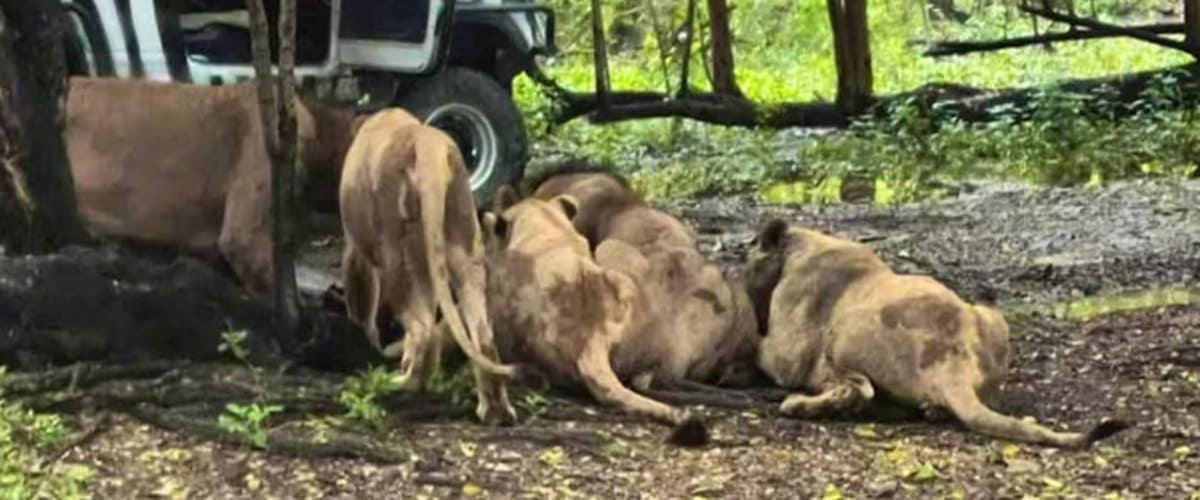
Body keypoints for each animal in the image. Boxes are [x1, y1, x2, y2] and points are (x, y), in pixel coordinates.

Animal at [338, 108, 529, 424]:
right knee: (482, 336)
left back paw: (400, 384)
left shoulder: (355, 245)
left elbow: (361, 296)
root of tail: (429, 145)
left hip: (399, 254)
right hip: (463, 243)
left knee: (423, 329)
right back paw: (495, 411)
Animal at [743, 218, 1131, 448]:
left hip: (847, 331)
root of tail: (954, 361)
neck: (802, 247)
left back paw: (798, 405)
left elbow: (759, 347)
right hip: (990, 316)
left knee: (859, 391)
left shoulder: (786, 354)